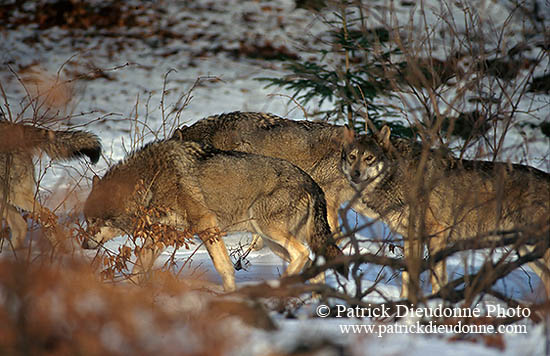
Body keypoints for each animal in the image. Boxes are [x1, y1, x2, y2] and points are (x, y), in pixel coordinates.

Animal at [82, 138, 348, 290]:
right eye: (86, 221)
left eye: (94, 221)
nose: (83, 244)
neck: (151, 179)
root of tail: (312, 183)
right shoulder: (161, 236)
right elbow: (138, 270)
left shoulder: (206, 224)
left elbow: (224, 267)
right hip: (273, 242)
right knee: (313, 265)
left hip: (267, 230)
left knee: (302, 254)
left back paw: (279, 286)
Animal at [342, 126, 550, 298]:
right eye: (352, 157)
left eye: (369, 158)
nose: (355, 174)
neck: (399, 175)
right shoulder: (411, 237)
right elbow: (407, 276)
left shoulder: (437, 234)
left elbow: (436, 279)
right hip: (528, 251)